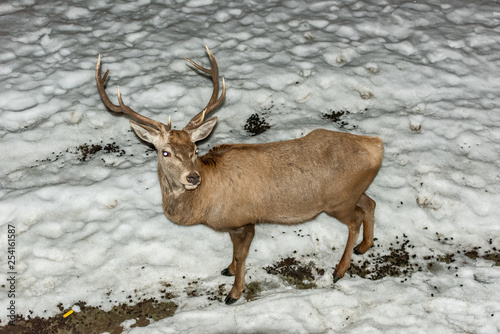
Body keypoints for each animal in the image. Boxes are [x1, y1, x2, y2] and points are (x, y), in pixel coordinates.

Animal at [94, 45, 382, 304]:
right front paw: (228, 269)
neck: (206, 203)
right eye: (165, 152)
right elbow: (234, 253)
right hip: (353, 192)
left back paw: (340, 269)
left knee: (355, 219)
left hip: (338, 200)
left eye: (195, 148)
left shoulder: (243, 219)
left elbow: (242, 256)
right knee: (370, 203)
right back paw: (364, 246)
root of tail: (376, 146)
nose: (192, 178)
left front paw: (233, 293)